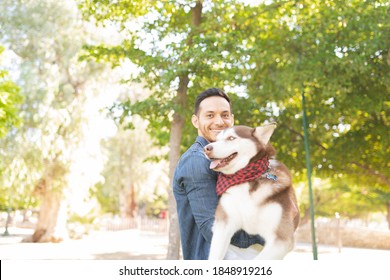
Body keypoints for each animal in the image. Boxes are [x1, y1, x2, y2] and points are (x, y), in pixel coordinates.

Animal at [206, 123, 300, 260]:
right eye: (215, 140)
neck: (246, 179)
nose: (206, 148)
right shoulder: (223, 225)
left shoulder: (281, 239)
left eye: (231, 138)